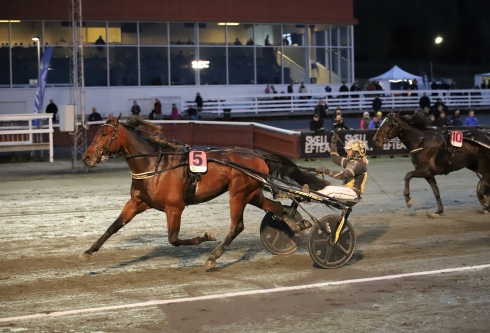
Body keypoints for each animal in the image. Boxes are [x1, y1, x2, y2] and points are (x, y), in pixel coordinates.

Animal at [80, 115, 328, 268]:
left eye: (104, 134)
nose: (86, 157)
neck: (155, 166)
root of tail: (257, 154)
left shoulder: (175, 208)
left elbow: (173, 239)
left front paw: (205, 237)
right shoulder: (137, 203)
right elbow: (113, 227)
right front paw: (89, 251)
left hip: (238, 194)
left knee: (237, 226)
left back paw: (213, 257)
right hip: (252, 193)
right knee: (276, 208)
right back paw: (296, 224)